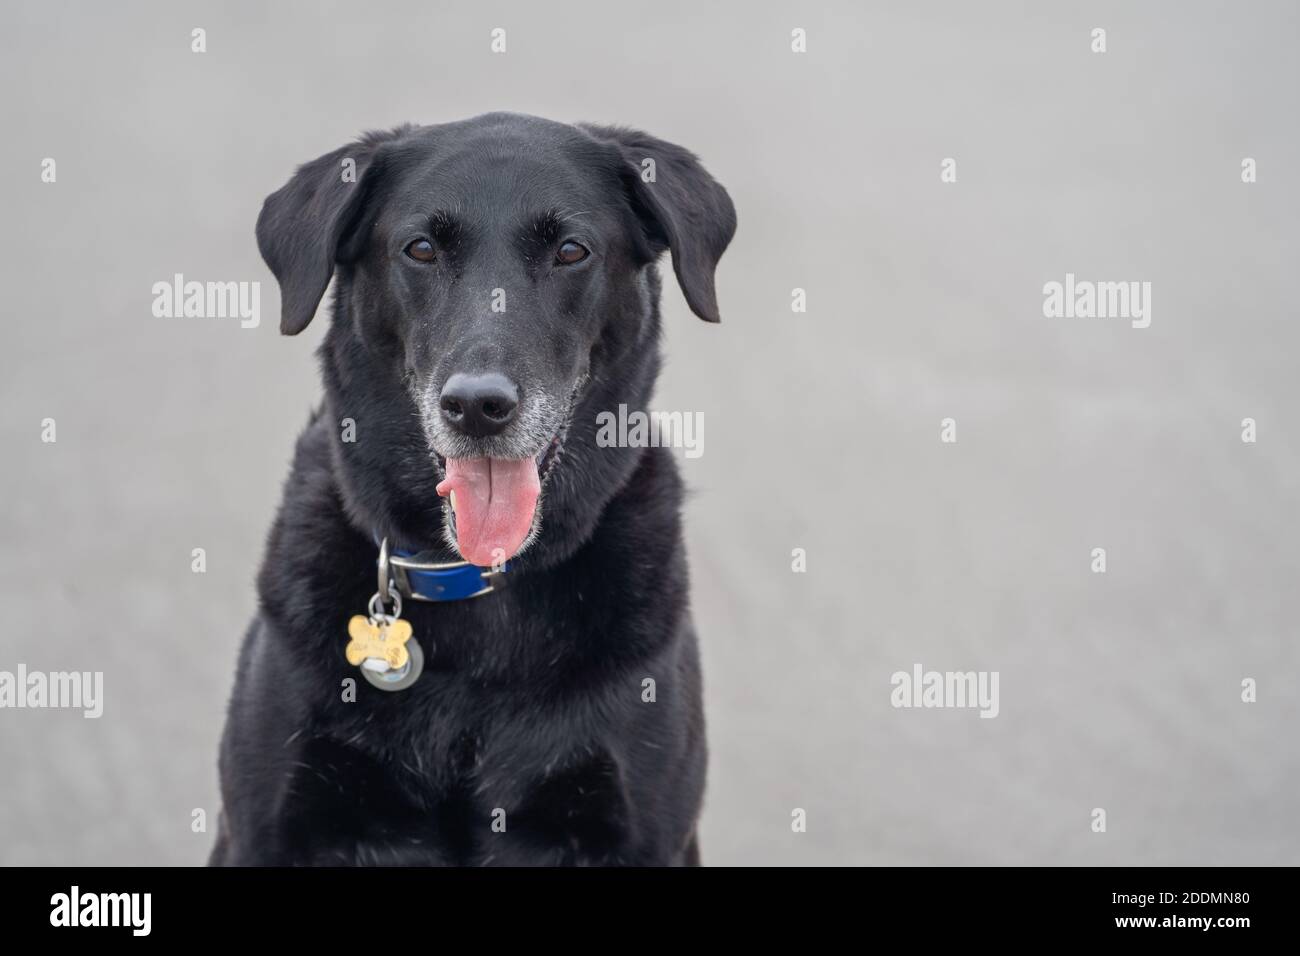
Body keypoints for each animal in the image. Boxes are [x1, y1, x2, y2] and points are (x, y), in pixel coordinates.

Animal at [215, 111, 743, 868]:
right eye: (422, 249)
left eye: (572, 251)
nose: (477, 406)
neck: (479, 587)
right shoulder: (263, 832)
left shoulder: (644, 834)